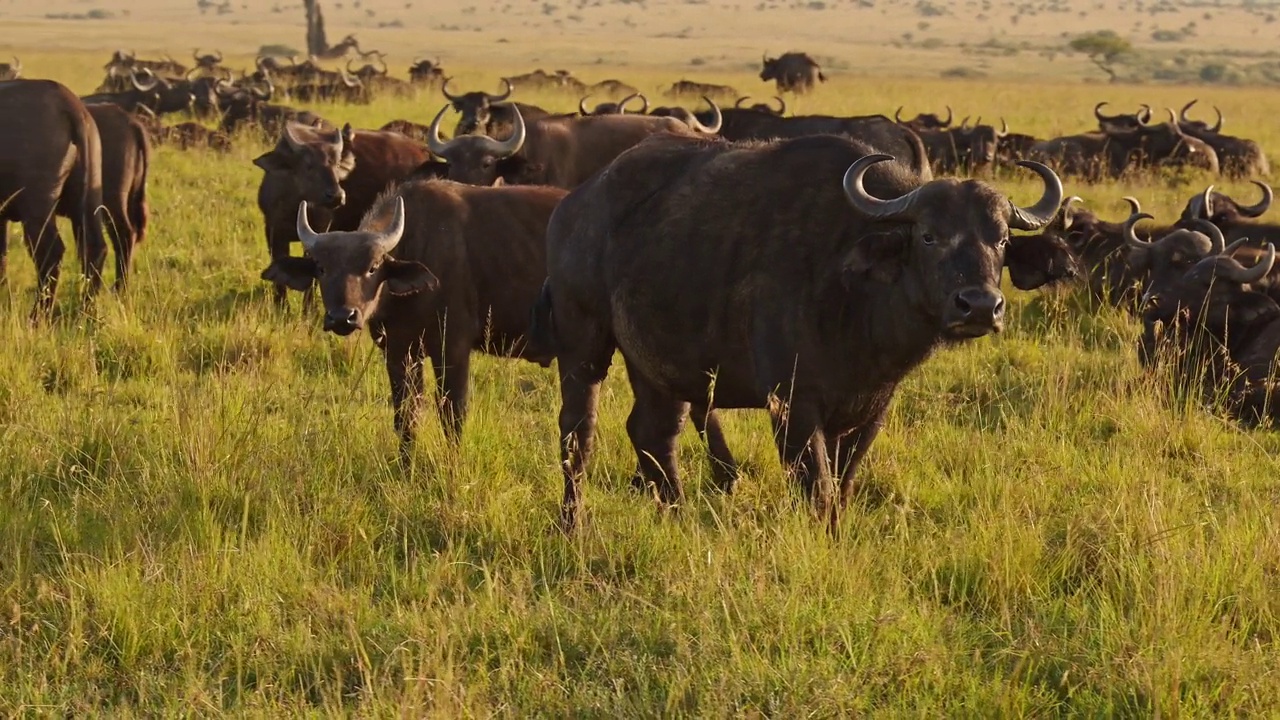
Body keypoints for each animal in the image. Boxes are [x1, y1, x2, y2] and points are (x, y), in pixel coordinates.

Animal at [529, 133, 1070, 527]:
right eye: (929, 235)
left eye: (1000, 239)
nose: (979, 306)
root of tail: (574, 206)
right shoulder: (793, 403)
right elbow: (819, 489)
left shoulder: (871, 409)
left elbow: (844, 485)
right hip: (583, 342)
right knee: (578, 434)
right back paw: (573, 523)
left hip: (661, 368)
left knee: (653, 434)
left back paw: (676, 516)